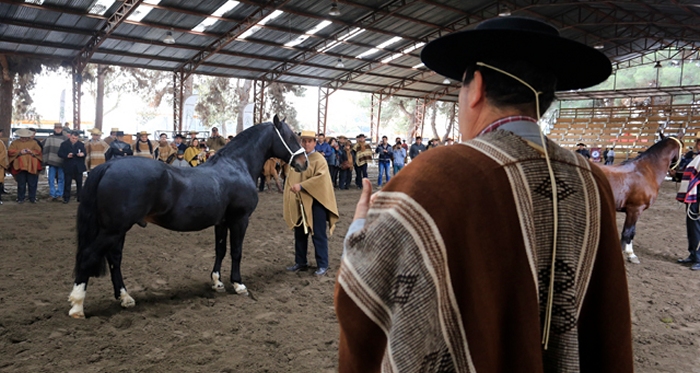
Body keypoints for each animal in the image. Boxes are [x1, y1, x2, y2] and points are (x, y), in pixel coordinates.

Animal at [69, 115, 308, 316]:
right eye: (290, 137)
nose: (303, 162)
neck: (236, 166)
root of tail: (108, 166)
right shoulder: (240, 220)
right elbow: (237, 251)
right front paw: (239, 284)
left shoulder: (221, 222)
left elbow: (220, 249)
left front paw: (217, 282)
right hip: (114, 229)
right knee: (88, 256)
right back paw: (77, 306)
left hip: (117, 229)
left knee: (114, 259)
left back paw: (125, 298)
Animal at [600, 132, 680, 264]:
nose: (677, 173)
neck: (645, 170)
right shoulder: (635, 209)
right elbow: (628, 232)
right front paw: (630, 254)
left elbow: (631, 232)